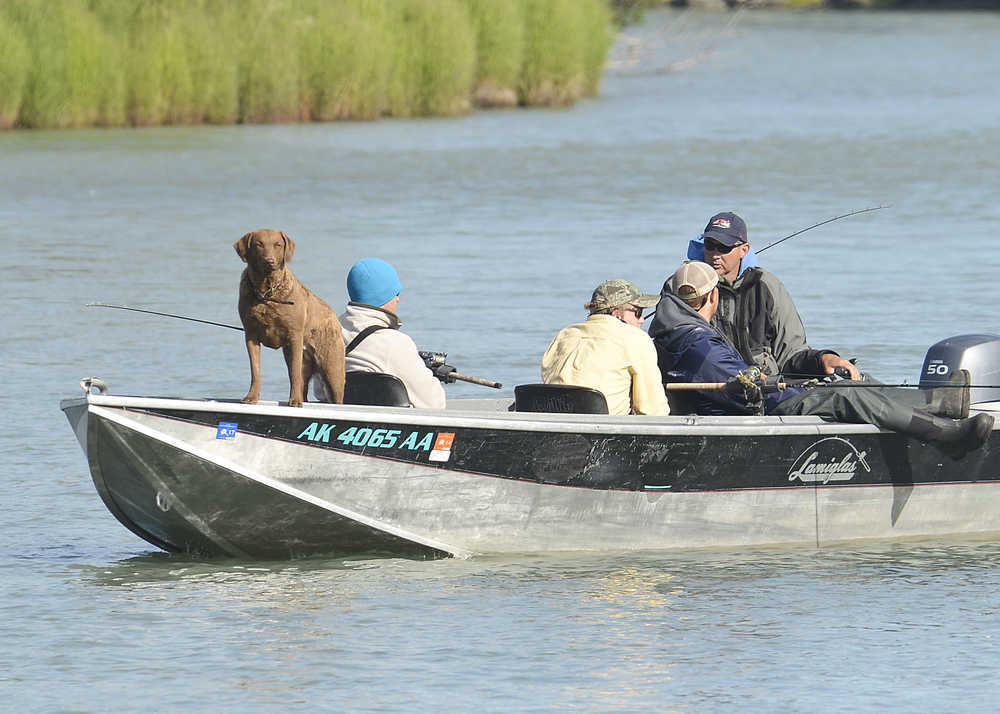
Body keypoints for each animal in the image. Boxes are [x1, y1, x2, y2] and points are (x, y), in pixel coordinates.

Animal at [233, 228, 344, 406]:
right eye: (259, 244)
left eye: (277, 244)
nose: (269, 261)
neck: (266, 293)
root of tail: (333, 316)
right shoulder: (250, 334)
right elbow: (255, 371)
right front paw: (251, 397)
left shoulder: (294, 336)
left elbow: (294, 373)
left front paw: (295, 401)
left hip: (332, 367)